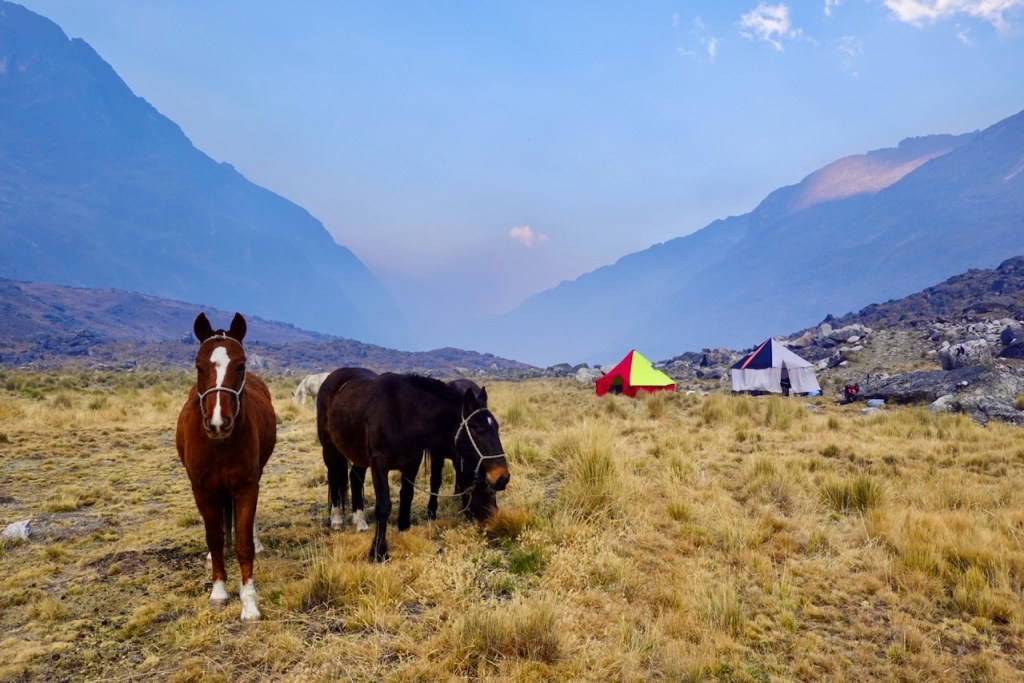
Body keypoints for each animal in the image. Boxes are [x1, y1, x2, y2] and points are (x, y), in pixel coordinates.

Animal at [175, 312, 276, 620]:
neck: (219, 445)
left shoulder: (246, 486)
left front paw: (249, 602)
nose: (218, 422)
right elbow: (215, 537)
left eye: (240, 365)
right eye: (199, 366)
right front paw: (219, 591)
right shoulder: (202, 489)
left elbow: (243, 544)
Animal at [317, 370, 510, 561]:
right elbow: (383, 506)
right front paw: (379, 551)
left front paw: (403, 526)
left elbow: (407, 494)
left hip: (358, 454)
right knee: (334, 478)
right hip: (330, 449)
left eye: (497, 427)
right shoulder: (379, 464)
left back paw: (359, 520)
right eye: (478, 429)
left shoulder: (412, 462)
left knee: (355, 479)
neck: (402, 415)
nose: (502, 477)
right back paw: (336, 519)